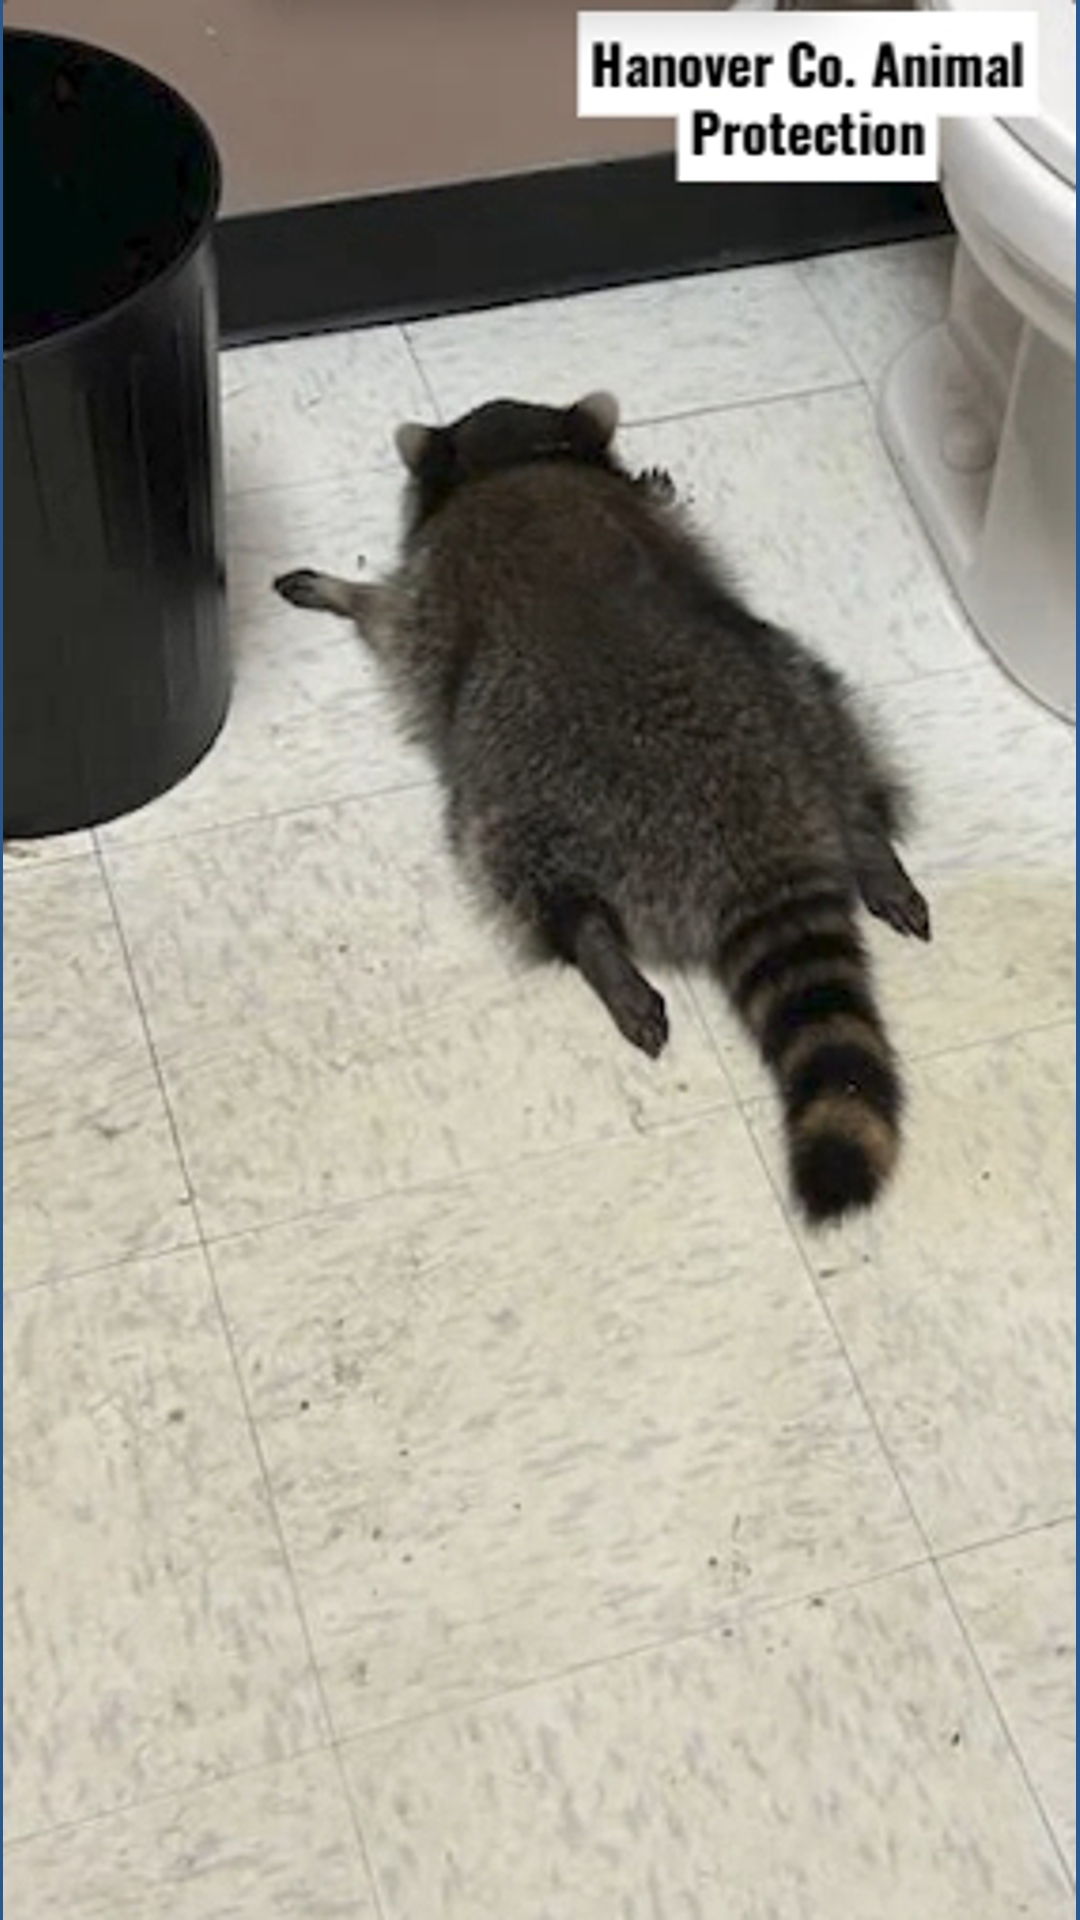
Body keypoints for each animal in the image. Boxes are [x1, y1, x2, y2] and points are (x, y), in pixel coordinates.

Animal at [275, 391, 930, 1224]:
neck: (517, 460)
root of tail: (759, 838)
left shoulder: (431, 592)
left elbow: (391, 616)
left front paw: (344, 592)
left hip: (530, 791)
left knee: (518, 865)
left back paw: (595, 945)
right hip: (798, 690)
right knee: (839, 737)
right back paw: (869, 840)